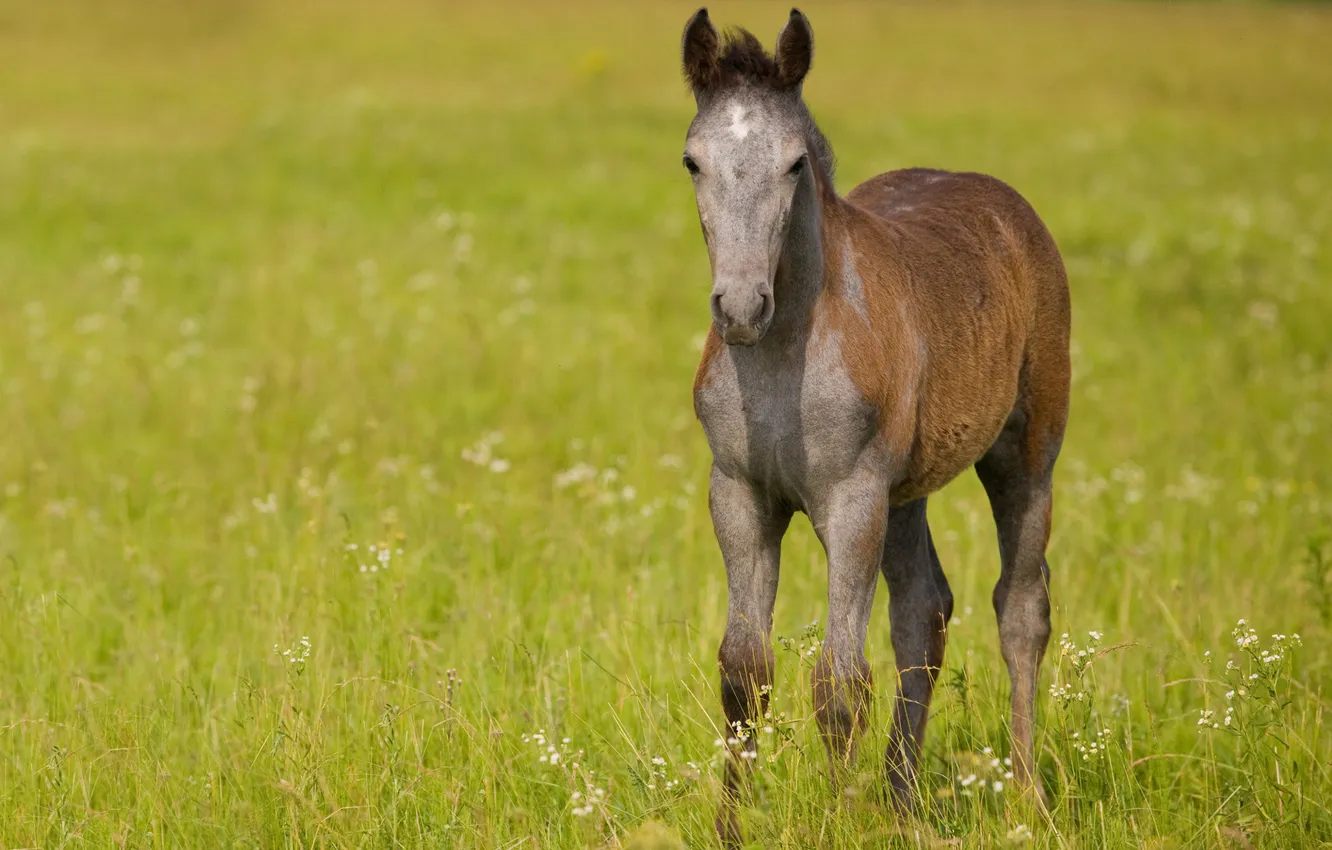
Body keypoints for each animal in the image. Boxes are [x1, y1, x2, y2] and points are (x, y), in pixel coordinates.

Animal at [681, 6, 1076, 847]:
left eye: (795, 164)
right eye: (693, 161)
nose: (740, 307)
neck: (785, 354)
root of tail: (1010, 207)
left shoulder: (851, 498)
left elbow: (838, 681)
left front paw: (835, 823)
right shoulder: (739, 493)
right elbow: (743, 670)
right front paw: (732, 827)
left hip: (1026, 453)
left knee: (1021, 608)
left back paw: (1026, 802)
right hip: (906, 493)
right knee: (923, 611)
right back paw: (900, 802)